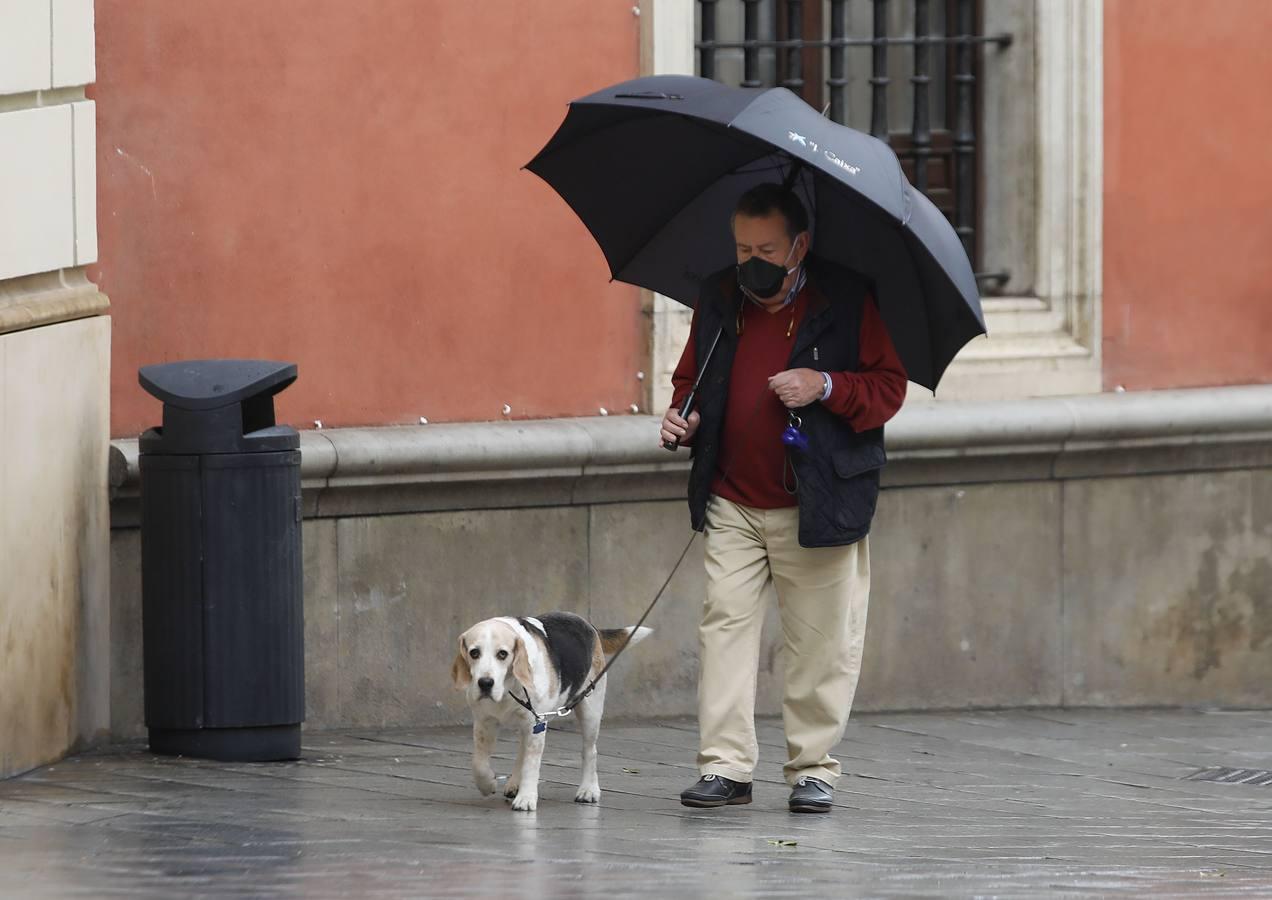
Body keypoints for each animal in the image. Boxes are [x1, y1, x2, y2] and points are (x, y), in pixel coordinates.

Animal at [452, 615, 651, 813]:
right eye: (474, 653)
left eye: (502, 654)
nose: (485, 683)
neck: (509, 687)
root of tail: (587, 624)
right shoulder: (484, 723)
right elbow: (479, 763)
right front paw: (487, 784)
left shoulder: (536, 724)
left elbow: (531, 764)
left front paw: (526, 798)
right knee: (522, 751)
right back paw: (515, 783)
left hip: (590, 710)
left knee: (589, 751)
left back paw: (588, 790)